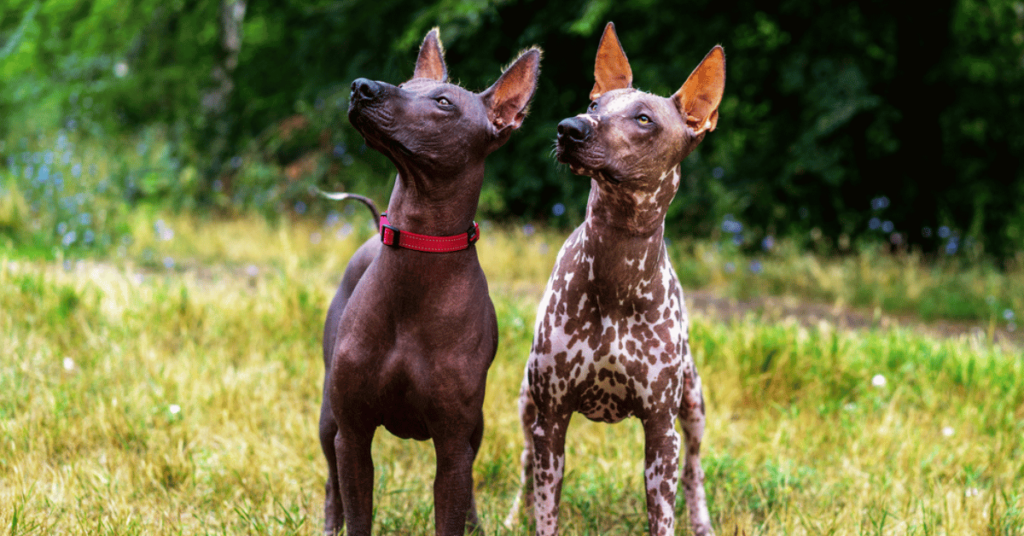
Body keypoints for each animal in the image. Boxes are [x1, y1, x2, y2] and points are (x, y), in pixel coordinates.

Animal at [321, 29, 544, 536]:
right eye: (406, 85)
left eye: (443, 102)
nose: (362, 87)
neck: (419, 253)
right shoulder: (353, 434)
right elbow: (357, 509)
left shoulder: (453, 443)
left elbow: (453, 506)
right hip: (328, 419)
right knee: (331, 482)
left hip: (474, 430)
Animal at [507, 22, 724, 536]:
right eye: (593, 105)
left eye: (644, 119)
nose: (570, 128)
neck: (616, 270)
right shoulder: (551, 418)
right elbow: (546, 509)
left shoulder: (662, 432)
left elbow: (663, 513)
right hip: (526, 403)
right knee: (523, 460)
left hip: (693, 406)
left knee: (695, 469)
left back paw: (702, 521)